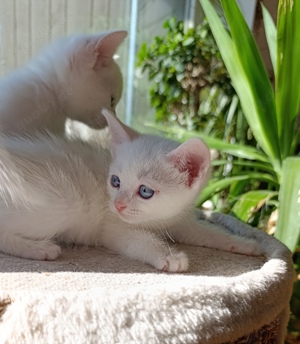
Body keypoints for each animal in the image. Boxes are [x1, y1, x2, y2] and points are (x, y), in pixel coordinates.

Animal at [0, 110, 262, 272]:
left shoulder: (179, 221)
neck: (157, 219)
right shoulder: (112, 226)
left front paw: (243, 243)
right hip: (60, 204)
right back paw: (40, 249)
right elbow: (138, 240)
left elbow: (208, 232)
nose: (118, 205)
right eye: (115, 181)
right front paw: (168, 256)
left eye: (145, 191)